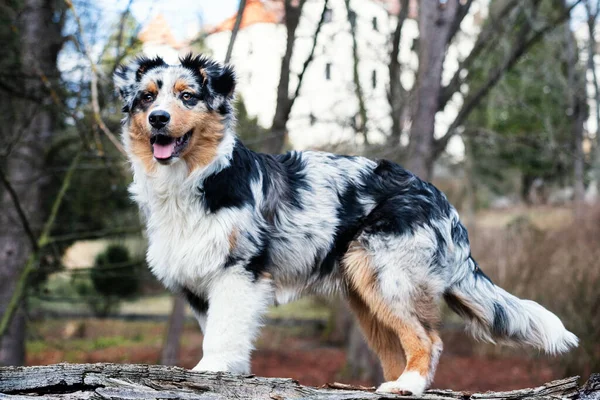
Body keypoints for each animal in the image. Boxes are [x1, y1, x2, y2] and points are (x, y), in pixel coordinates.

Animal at [112, 54, 576, 396]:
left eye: (188, 96)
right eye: (147, 97)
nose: (158, 118)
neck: (194, 179)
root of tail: (442, 199)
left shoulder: (238, 270)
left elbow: (222, 333)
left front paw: (211, 371)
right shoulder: (199, 281)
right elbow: (224, 332)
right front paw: (231, 373)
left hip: (388, 276)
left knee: (428, 339)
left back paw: (407, 385)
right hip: (366, 293)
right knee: (399, 348)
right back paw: (391, 385)